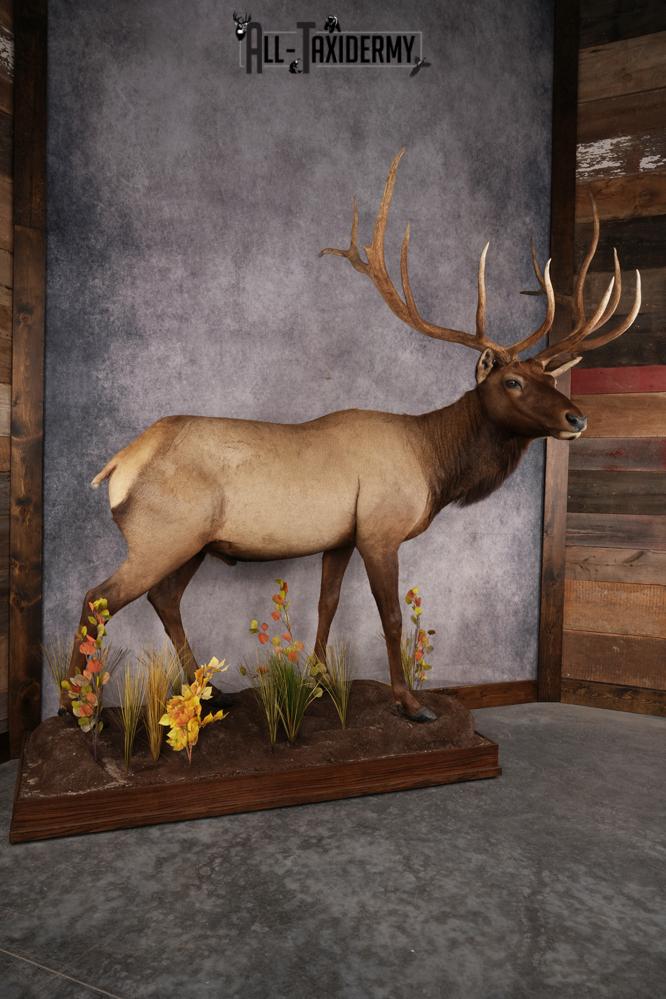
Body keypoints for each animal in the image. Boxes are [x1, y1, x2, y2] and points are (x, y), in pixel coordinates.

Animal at [67, 149, 640, 722]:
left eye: (552, 377)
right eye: (513, 381)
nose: (577, 419)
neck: (433, 465)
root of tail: (117, 465)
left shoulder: (341, 537)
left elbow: (328, 604)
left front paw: (319, 681)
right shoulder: (380, 530)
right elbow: (390, 618)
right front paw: (411, 703)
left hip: (194, 544)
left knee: (163, 599)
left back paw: (207, 691)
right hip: (164, 535)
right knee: (97, 597)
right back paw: (78, 709)